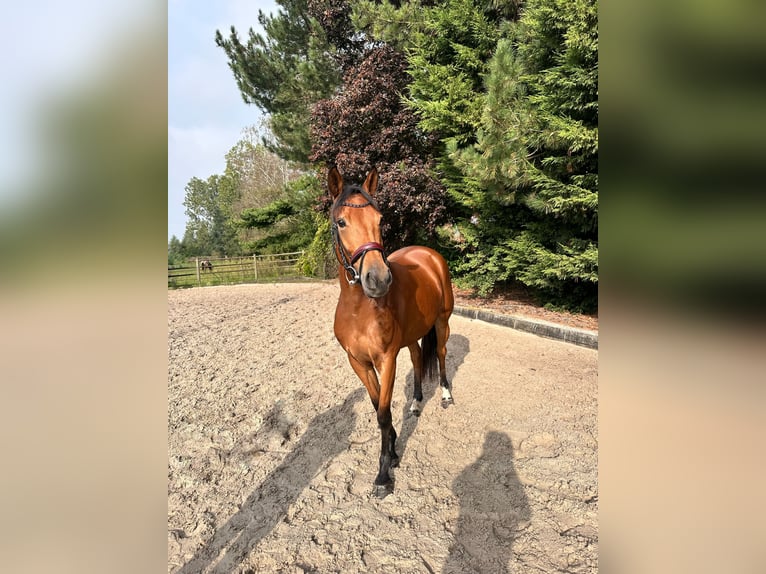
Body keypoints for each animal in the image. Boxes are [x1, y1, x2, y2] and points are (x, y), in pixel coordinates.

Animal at [328, 166, 454, 497]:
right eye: (341, 222)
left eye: (379, 220)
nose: (378, 279)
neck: (359, 309)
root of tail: (429, 254)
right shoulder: (358, 363)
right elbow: (376, 407)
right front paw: (394, 449)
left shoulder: (386, 360)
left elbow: (384, 413)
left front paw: (384, 472)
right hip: (412, 334)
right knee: (418, 356)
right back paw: (416, 402)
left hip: (442, 322)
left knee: (440, 354)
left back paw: (446, 395)